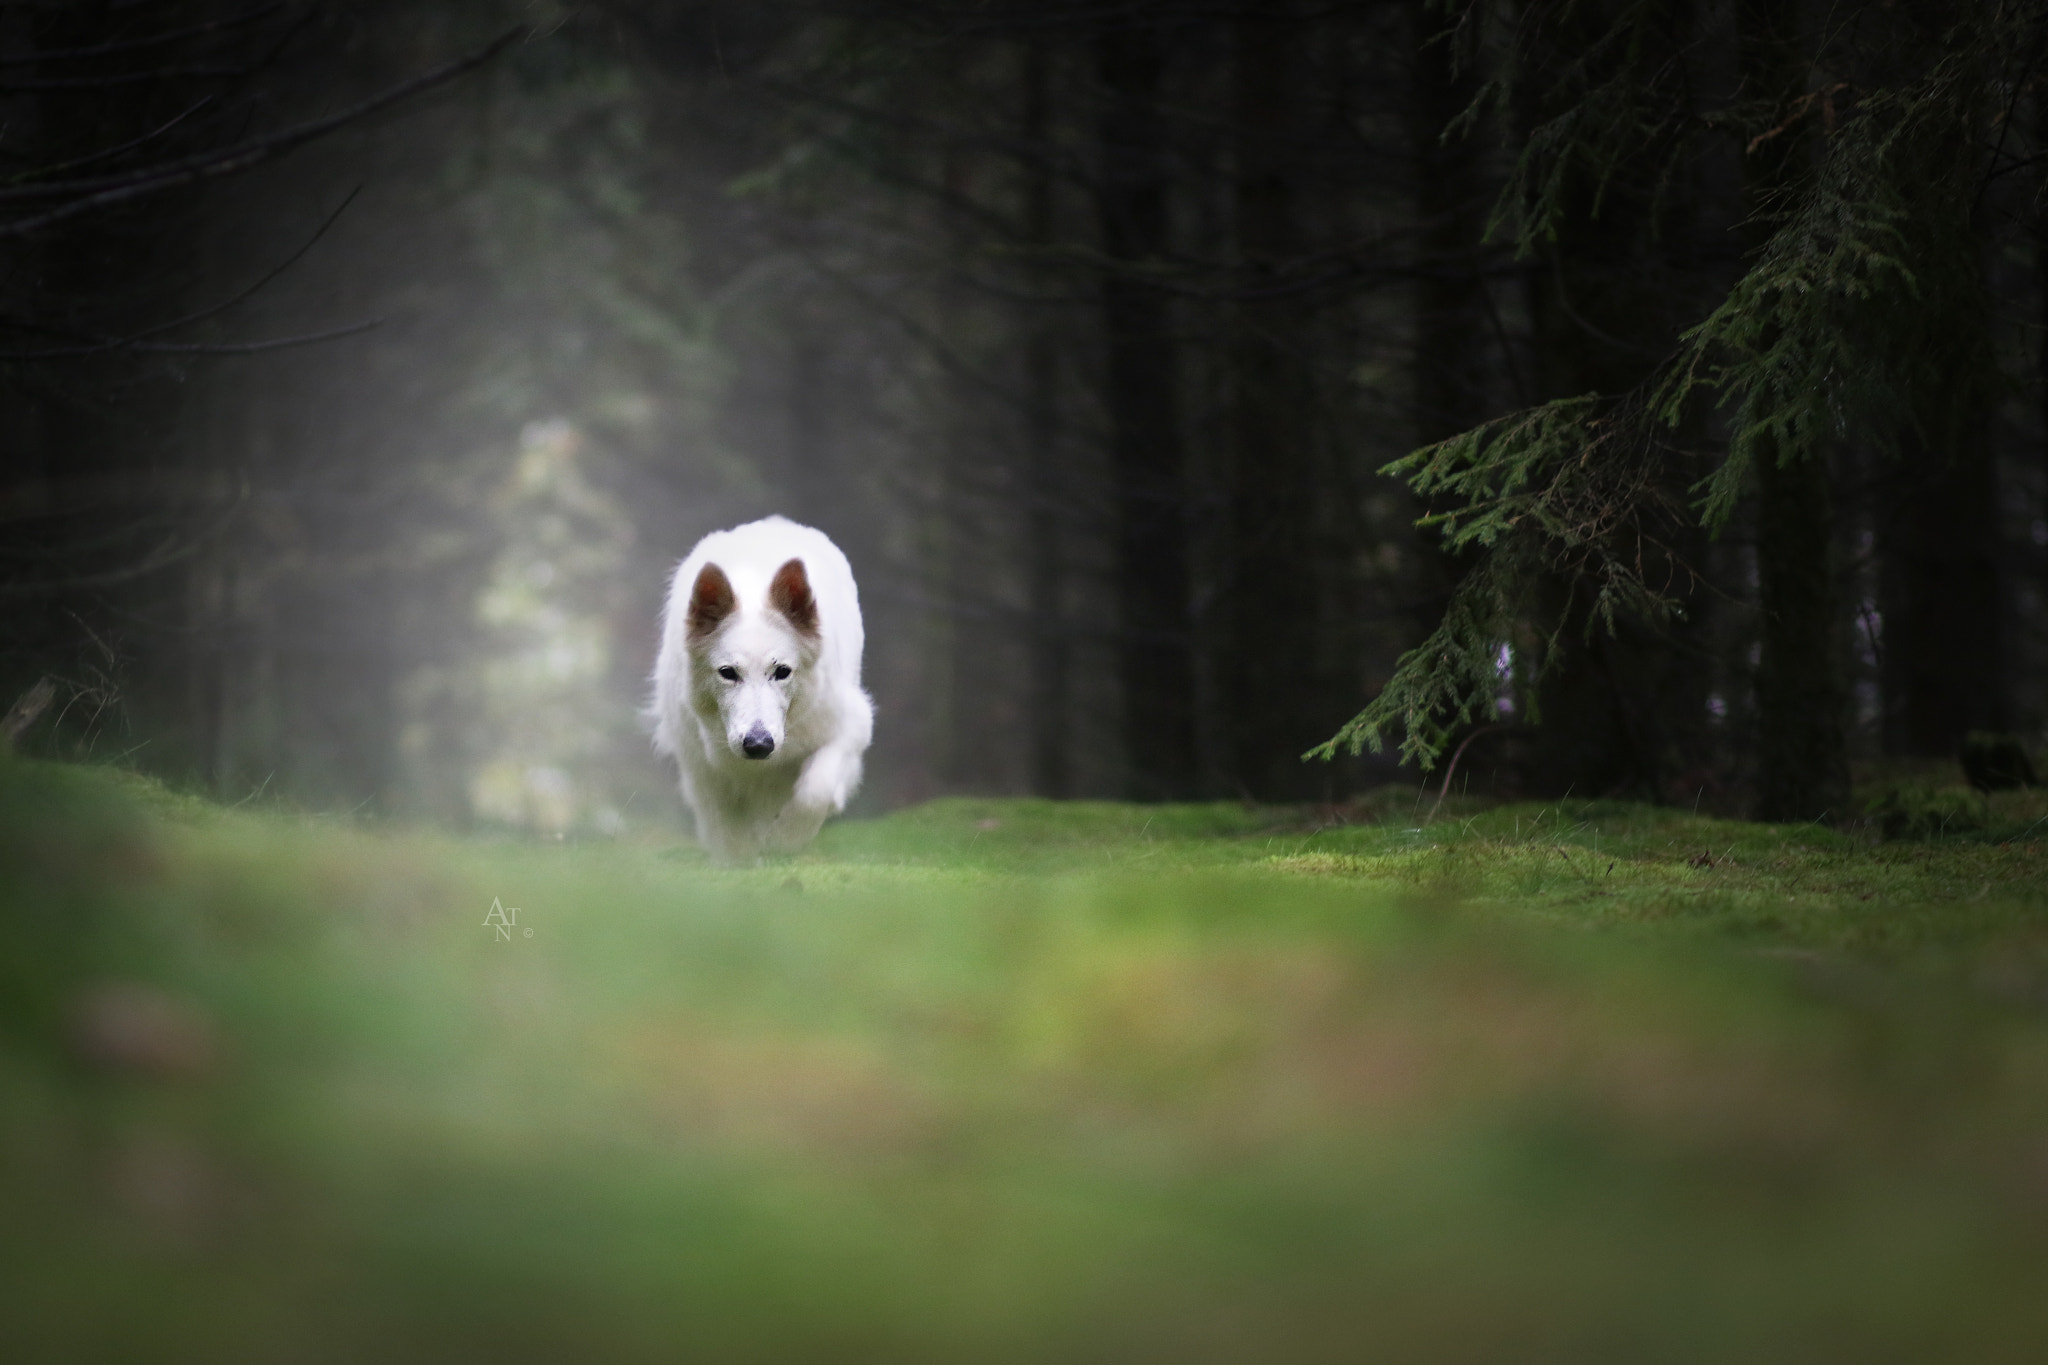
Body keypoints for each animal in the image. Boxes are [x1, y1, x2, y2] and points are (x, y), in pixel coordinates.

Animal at [650, 516, 875, 861]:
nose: (758, 745)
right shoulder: (699, 762)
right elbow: (724, 823)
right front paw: (738, 857)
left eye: (782, 672)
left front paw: (786, 840)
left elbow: (815, 791)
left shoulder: (849, 726)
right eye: (728, 673)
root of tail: (773, 522)